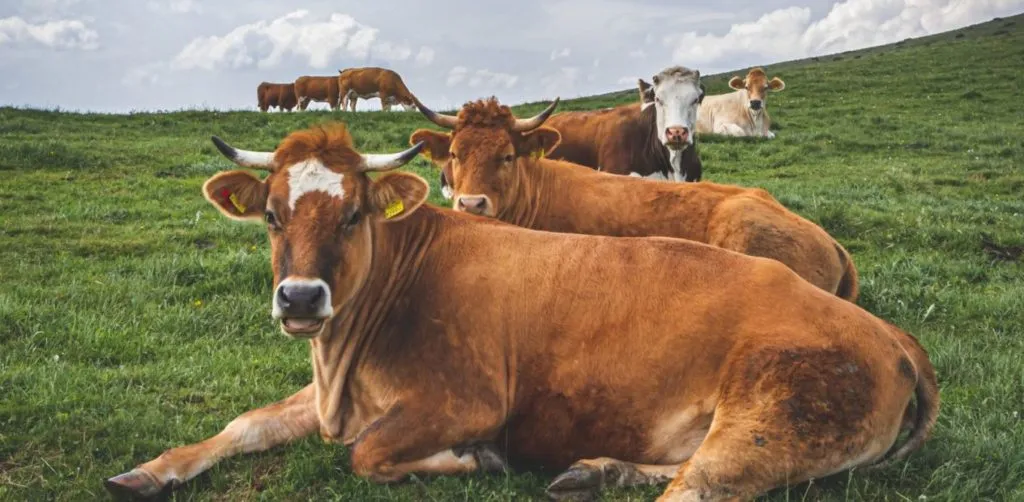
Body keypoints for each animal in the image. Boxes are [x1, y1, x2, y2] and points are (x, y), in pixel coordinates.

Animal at [105, 123, 937, 502]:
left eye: (352, 215)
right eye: (272, 216)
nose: (301, 298)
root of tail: (894, 336)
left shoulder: (466, 399)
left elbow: (365, 454)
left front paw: (473, 459)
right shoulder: (333, 393)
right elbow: (244, 425)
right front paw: (148, 470)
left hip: (773, 419)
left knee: (693, 489)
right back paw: (597, 468)